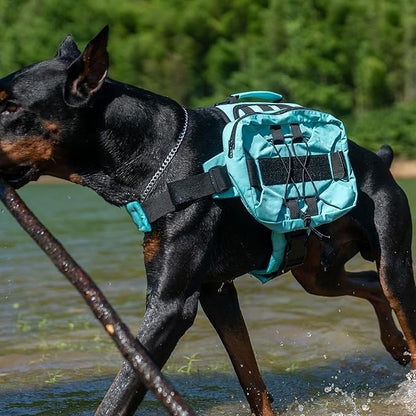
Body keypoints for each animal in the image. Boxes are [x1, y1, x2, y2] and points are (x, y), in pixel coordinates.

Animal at [0, 26, 414, 416]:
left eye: (11, 107)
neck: (158, 156)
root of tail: (379, 160)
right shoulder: (217, 291)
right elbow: (251, 381)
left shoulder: (170, 304)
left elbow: (122, 390)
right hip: (317, 272)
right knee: (368, 284)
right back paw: (395, 346)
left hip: (393, 261)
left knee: (395, 296)